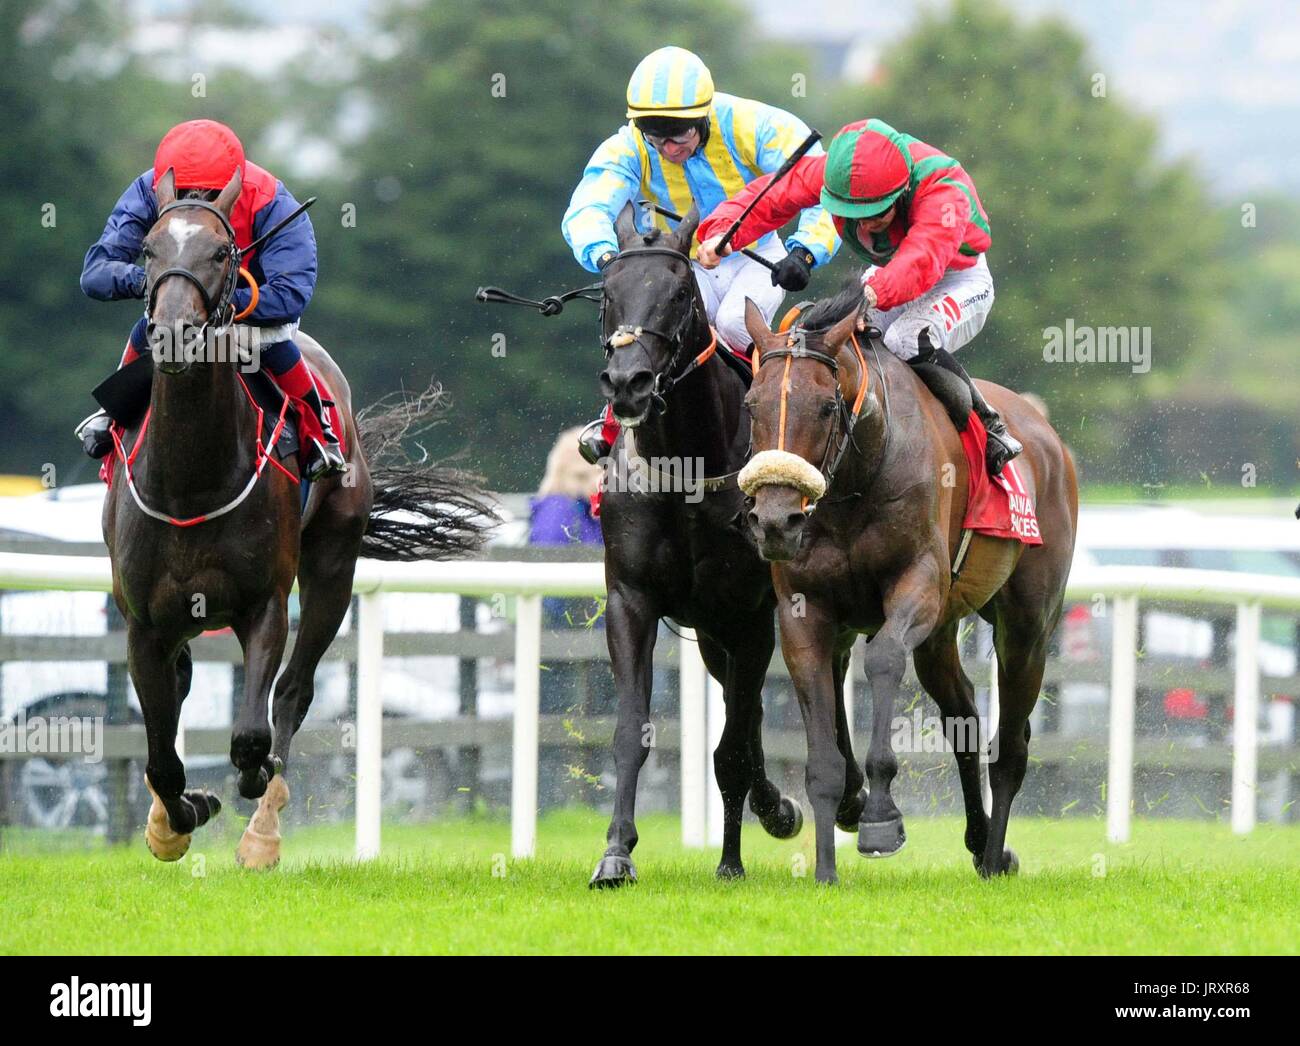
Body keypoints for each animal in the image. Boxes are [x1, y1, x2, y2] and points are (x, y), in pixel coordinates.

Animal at [101, 168, 488, 862]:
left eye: (222, 253)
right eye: (146, 250)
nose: (171, 330)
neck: (190, 484)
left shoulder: (264, 605)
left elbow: (252, 735)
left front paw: (250, 787)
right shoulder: (143, 622)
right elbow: (162, 754)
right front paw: (176, 819)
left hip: (333, 563)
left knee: (295, 689)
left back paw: (264, 827)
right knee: (182, 688)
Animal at [590, 201, 811, 883]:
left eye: (680, 293)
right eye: (607, 293)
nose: (628, 382)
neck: (687, 467)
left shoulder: (749, 615)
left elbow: (732, 747)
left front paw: (731, 861)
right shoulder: (630, 600)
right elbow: (631, 729)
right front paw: (615, 853)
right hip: (712, 638)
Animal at [738, 283, 1081, 883]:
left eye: (825, 405)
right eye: (751, 404)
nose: (776, 521)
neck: (855, 480)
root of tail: (1050, 440)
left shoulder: (916, 586)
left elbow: (881, 660)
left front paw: (880, 817)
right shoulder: (805, 611)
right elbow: (823, 753)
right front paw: (825, 870)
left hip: (1027, 626)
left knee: (1010, 748)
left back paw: (995, 856)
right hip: (942, 633)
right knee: (964, 716)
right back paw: (981, 841)